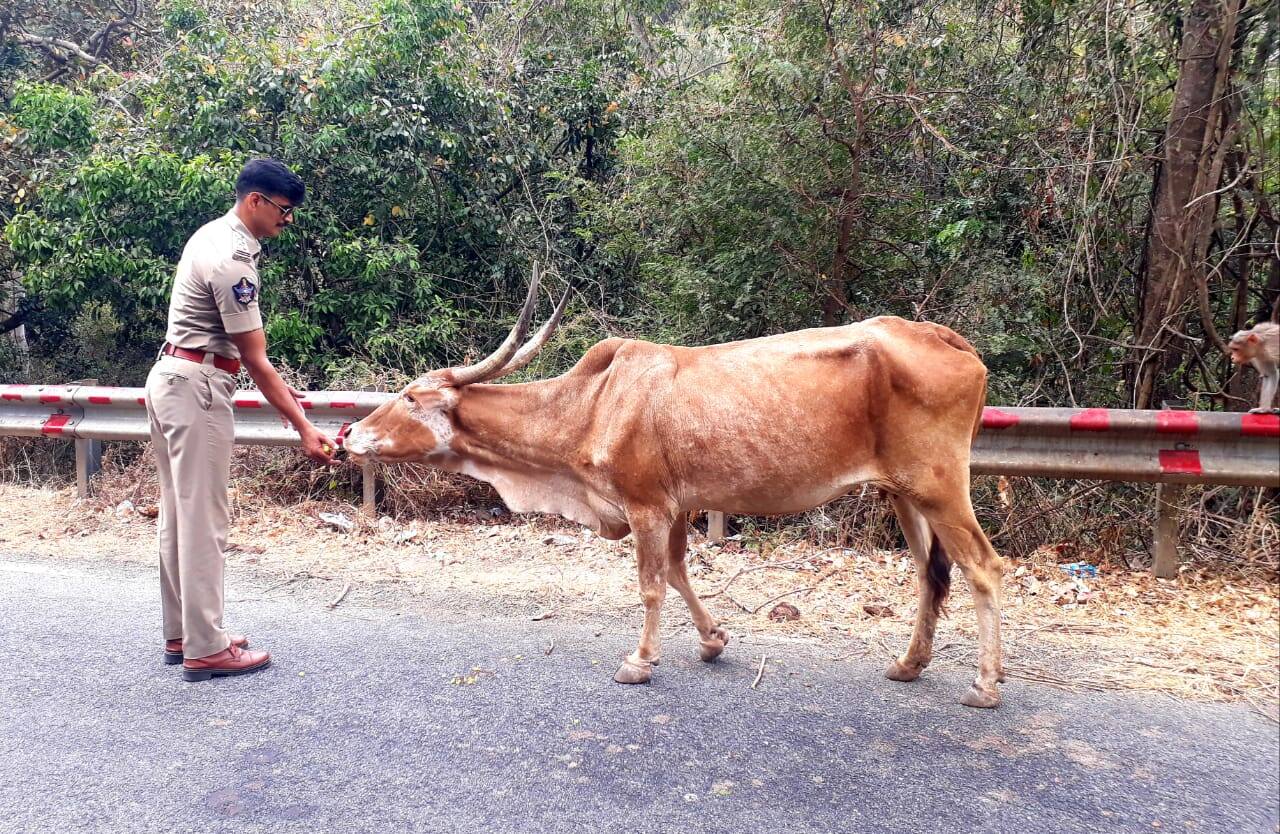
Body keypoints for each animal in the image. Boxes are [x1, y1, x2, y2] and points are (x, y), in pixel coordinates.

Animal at [345, 276, 1003, 706]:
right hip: (904, 493)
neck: (593, 402)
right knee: (929, 574)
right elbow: (682, 571)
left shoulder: (645, 506)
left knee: (983, 567)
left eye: (410, 396)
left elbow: (651, 585)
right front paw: (713, 640)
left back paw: (986, 684)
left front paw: (640, 661)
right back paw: (909, 664)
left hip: (941, 487)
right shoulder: (678, 505)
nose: (348, 432)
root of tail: (948, 339)